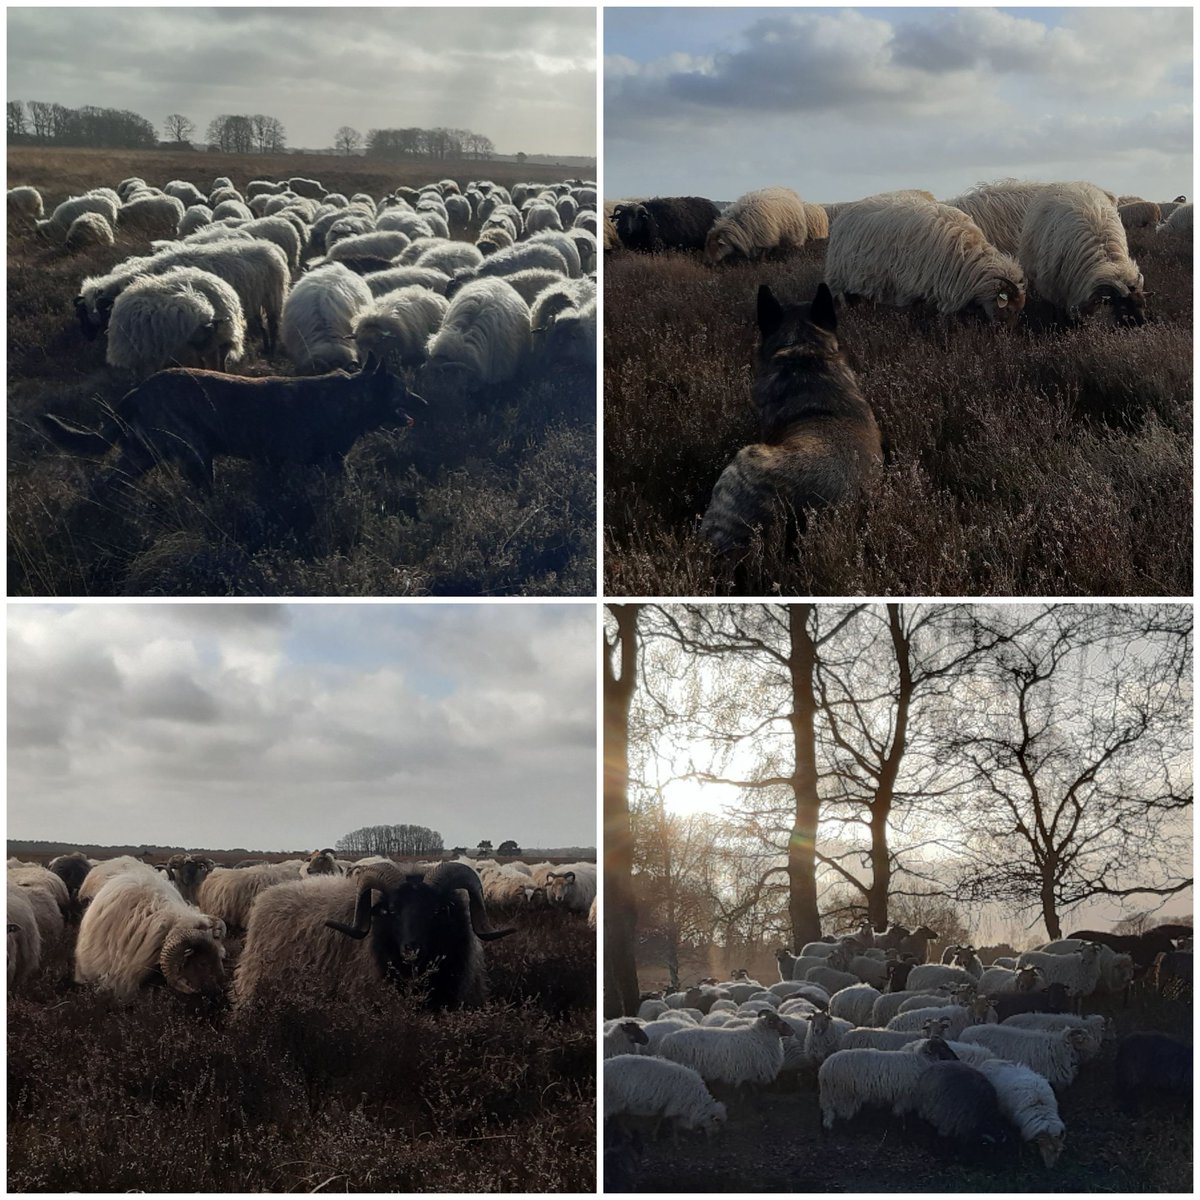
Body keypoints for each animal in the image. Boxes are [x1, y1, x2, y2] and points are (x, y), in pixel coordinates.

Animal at [39, 350, 424, 492]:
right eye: (403, 391)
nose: (424, 402)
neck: (348, 399)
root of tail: (138, 390)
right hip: (193, 455)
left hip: (140, 454)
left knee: (108, 484)